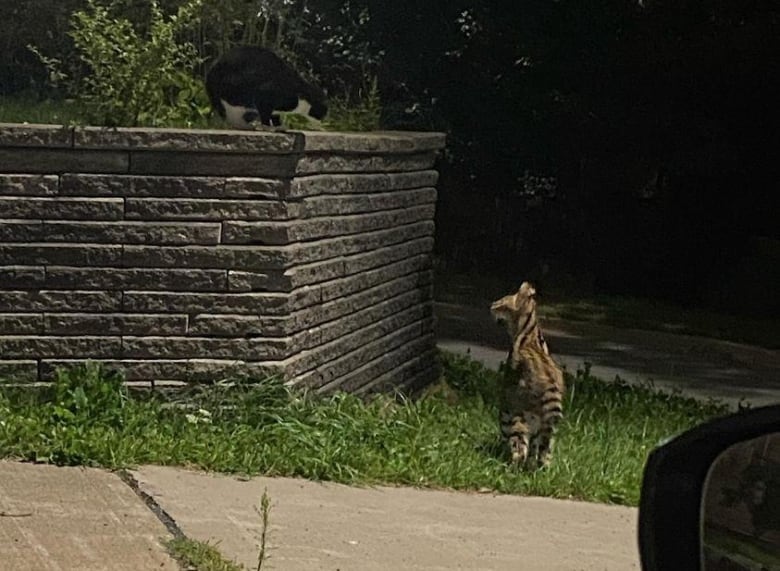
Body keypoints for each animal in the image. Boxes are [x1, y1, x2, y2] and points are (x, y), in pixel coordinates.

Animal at [490, 282, 564, 470]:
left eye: (500, 303)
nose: (491, 305)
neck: (529, 330)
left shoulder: (507, 404)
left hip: (519, 417)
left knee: (520, 449)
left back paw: (511, 467)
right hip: (545, 426)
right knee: (544, 453)